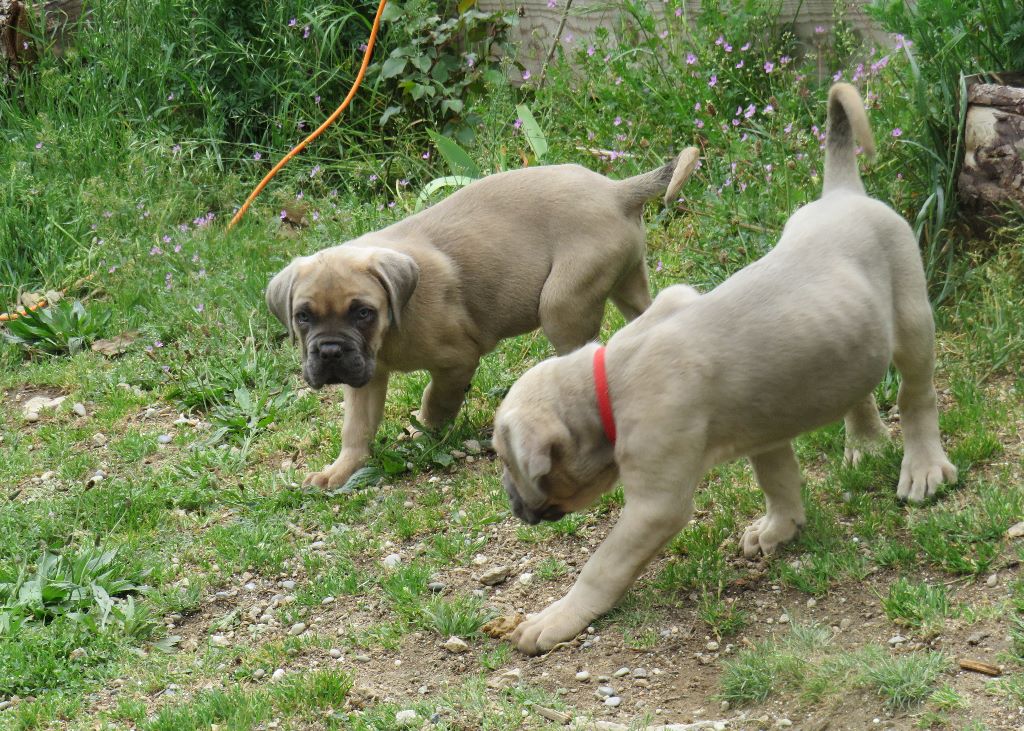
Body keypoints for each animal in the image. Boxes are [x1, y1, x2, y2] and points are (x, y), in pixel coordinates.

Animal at [264, 148, 700, 487]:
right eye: (303, 316)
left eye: (362, 313)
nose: (330, 352)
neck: (392, 326)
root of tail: (615, 191)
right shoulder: (366, 379)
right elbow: (357, 428)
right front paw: (338, 472)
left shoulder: (457, 360)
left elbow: (437, 399)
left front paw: (425, 431)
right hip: (627, 283)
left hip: (562, 305)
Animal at [495, 82, 958, 651]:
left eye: (507, 460)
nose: (512, 505)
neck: (607, 383)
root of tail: (843, 194)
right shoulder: (764, 428)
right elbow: (778, 479)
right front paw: (780, 527)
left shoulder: (655, 505)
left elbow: (602, 566)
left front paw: (557, 618)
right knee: (860, 387)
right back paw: (866, 442)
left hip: (912, 320)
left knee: (917, 397)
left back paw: (923, 467)